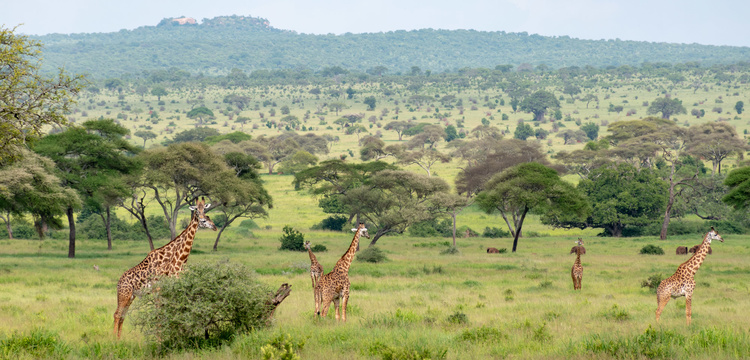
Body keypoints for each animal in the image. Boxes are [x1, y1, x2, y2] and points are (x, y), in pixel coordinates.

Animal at [112, 195, 217, 338]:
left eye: (206, 213)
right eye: (197, 211)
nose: (214, 226)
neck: (177, 260)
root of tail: (119, 282)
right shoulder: (159, 290)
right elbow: (160, 315)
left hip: (131, 296)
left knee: (122, 315)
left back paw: (119, 340)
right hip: (124, 295)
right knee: (117, 314)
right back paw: (112, 340)